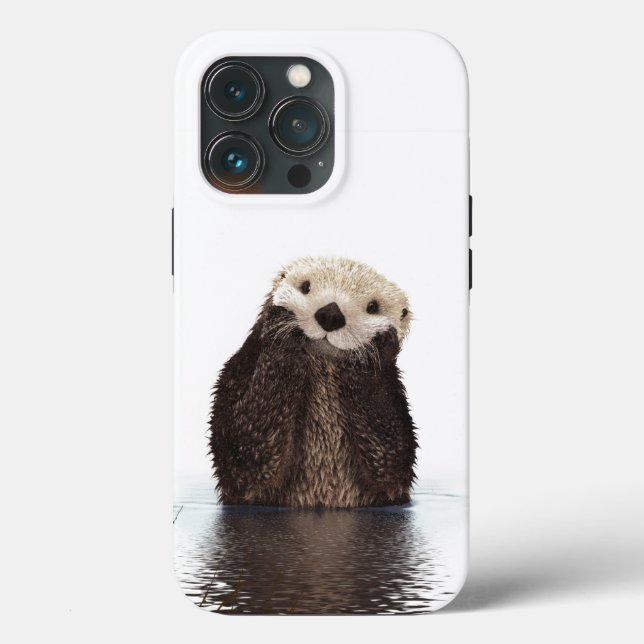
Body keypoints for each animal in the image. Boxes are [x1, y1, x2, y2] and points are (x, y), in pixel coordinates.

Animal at [208, 256, 417, 508]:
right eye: (305, 286)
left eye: (373, 307)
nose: (331, 314)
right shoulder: (238, 373)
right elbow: (244, 450)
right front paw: (282, 327)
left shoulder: (394, 400)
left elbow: (391, 460)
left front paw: (373, 349)